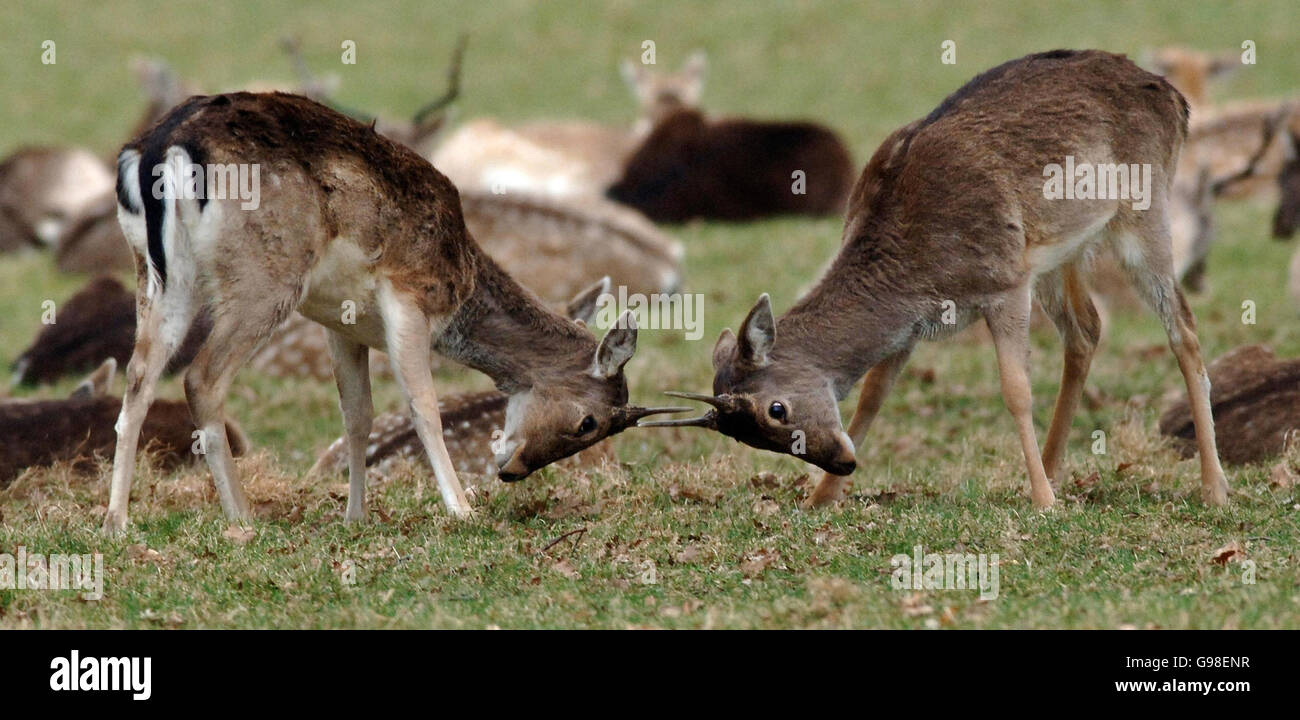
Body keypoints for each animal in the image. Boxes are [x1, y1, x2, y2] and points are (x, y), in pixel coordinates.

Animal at [104, 91, 684, 533]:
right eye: (590, 423)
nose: (513, 471)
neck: (461, 277)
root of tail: (159, 149)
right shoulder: (408, 294)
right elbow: (421, 403)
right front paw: (462, 510)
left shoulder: (338, 321)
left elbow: (357, 415)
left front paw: (355, 517)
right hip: (262, 280)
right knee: (201, 376)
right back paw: (243, 519)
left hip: (156, 275)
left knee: (138, 375)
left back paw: (117, 522)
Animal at [646, 50, 1229, 510]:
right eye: (751, 439)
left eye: (775, 409)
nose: (841, 464)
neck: (912, 268)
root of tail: (1176, 99)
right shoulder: (914, 324)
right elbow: (873, 395)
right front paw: (819, 500)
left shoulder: (1002, 280)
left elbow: (1016, 390)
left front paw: (1043, 504)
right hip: (1059, 251)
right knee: (1086, 329)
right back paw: (1054, 468)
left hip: (1144, 214)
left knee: (1183, 328)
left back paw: (1213, 488)